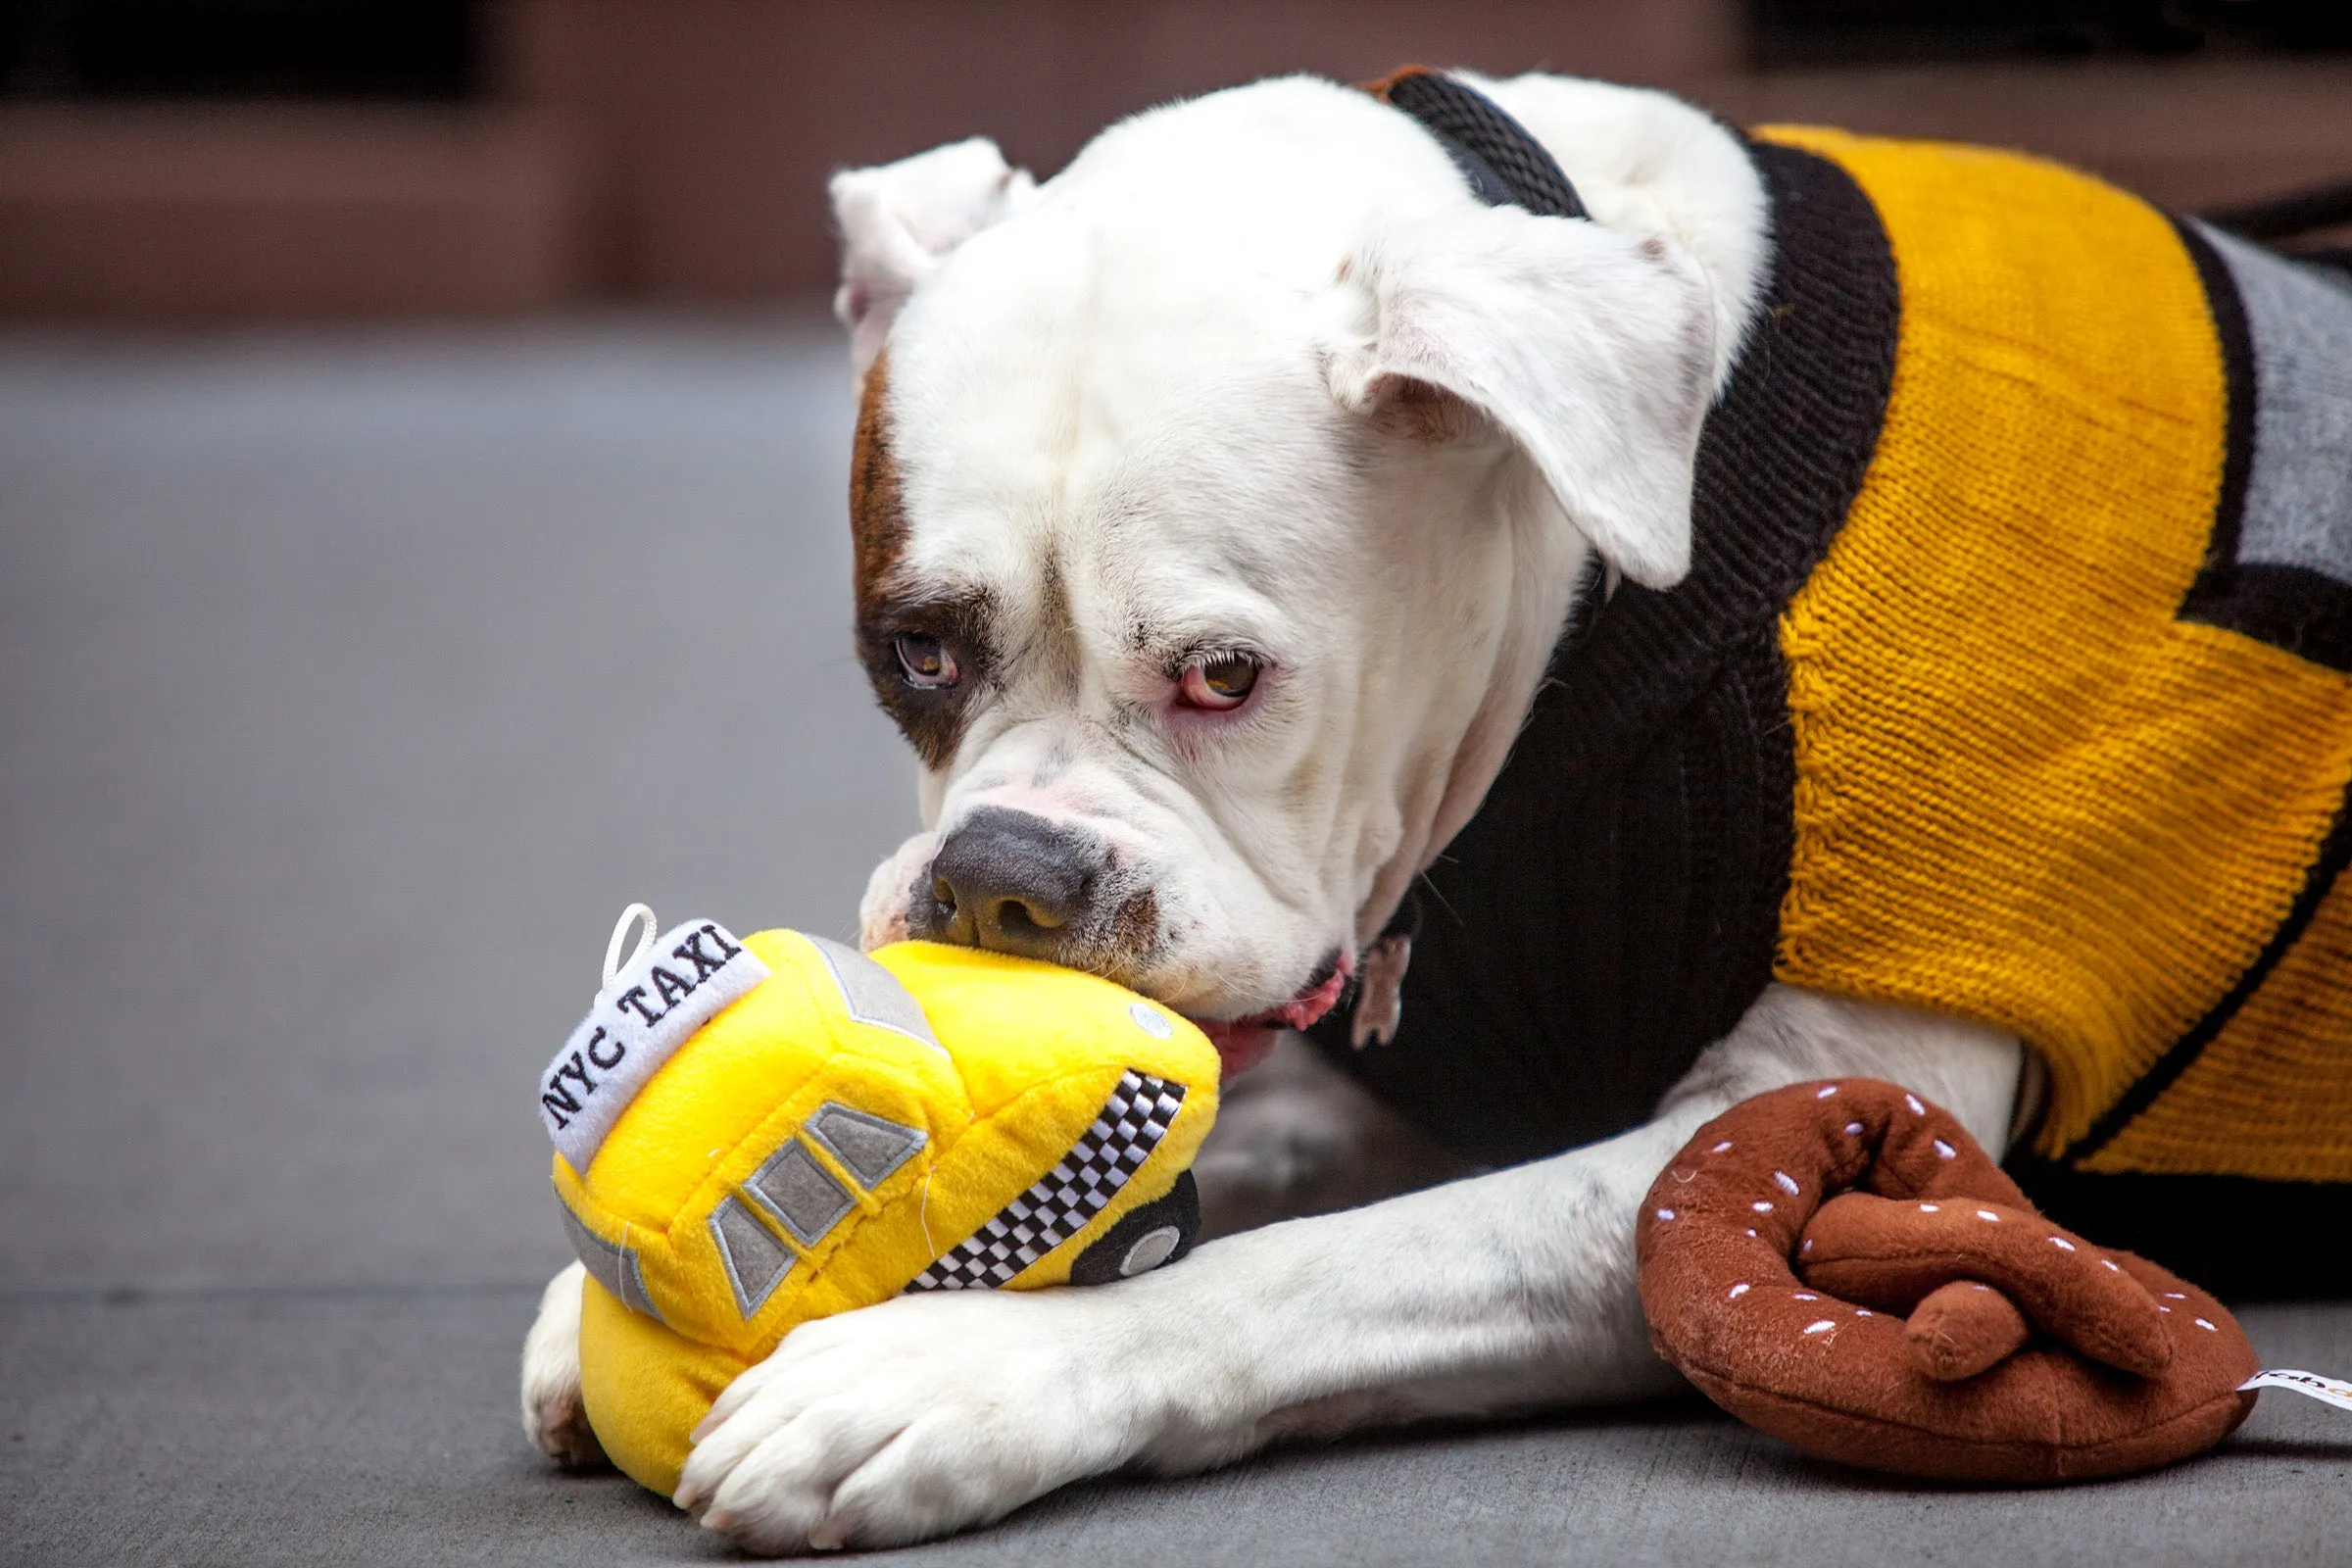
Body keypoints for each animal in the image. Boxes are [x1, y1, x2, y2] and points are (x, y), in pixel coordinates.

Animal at [519, 70, 2023, 1542]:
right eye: (919, 652)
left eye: (1224, 675)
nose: (1003, 871)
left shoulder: (1787, 1154)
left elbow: (1322, 1268)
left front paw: (959, 1375)